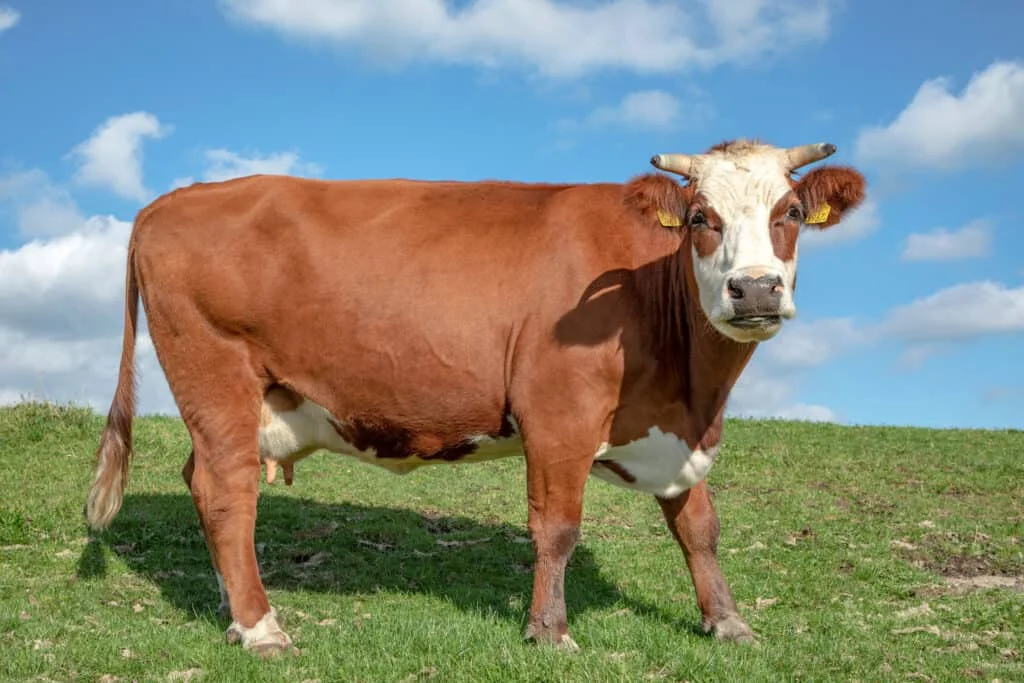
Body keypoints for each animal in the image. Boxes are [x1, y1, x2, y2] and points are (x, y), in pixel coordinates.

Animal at [85, 139, 866, 657]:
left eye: (791, 211)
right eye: (702, 217)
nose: (755, 289)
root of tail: (172, 200)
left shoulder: (670, 430)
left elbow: (699, 527)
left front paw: (727, 621)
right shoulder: (559, 414)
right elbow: (556, 528)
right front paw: (550, 631)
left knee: (203, 483)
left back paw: (230, 601)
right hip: (215, 372)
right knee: (227, 490)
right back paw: (260, 626)